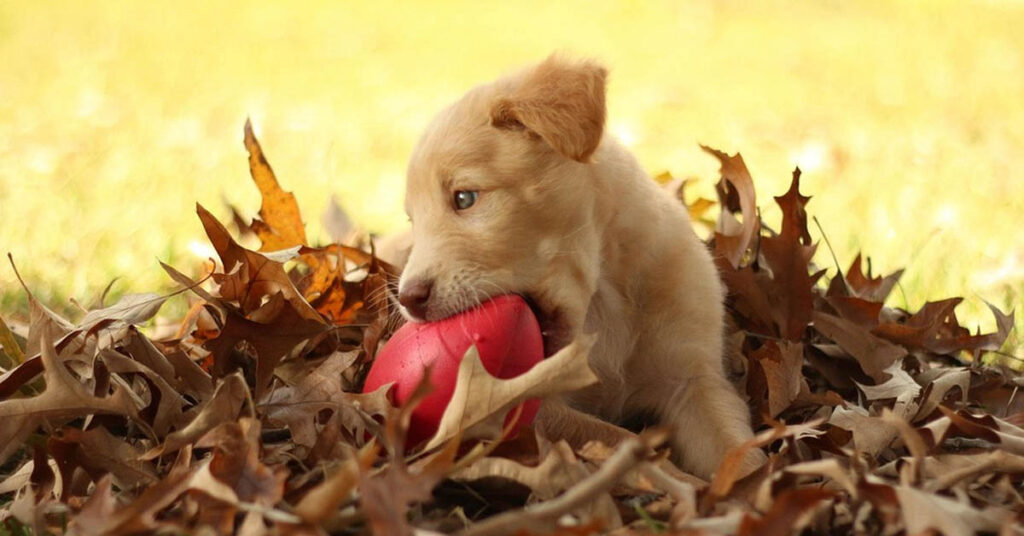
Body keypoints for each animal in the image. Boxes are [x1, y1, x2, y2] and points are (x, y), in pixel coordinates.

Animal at [391, 56, 761, 479]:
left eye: (464, 198)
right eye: (413, 220)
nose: (408, 299)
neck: (603, 301)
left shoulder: (694, 381)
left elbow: (741, 454)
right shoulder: (534, 407)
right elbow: (620, 441)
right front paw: (679, 480)